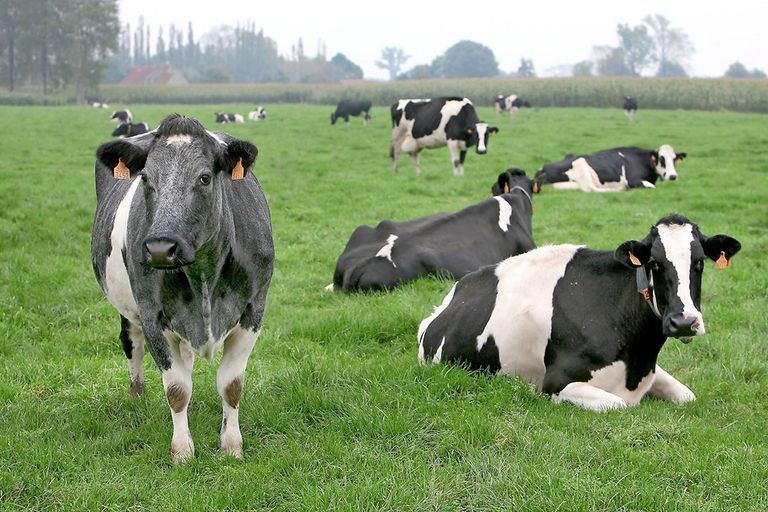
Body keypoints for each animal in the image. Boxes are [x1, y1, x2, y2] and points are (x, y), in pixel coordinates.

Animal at [91, 114, 274, 462]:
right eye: (146, 178)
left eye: (204, 178)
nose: (160, 248)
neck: (203, 274)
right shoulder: (153, 315)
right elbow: (177, 389)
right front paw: (182, 451)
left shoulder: (253, 310)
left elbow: (231, 385)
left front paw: (232, 445)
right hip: (129, 308)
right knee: (132, 343)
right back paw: (137, 394)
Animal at [416, 213, 740, 412]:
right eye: (654, 263)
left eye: (699, 262)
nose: (683, 321)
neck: (638, 360)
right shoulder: (556, 382)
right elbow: (616, 404)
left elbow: (688, 396)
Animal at [532, 144, 688, 192]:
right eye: (661, 159)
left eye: (674, 159)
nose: (673, 176)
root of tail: (543, 167)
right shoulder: (633, 180)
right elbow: (651, 187)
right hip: (583, 168)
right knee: (591, 189)